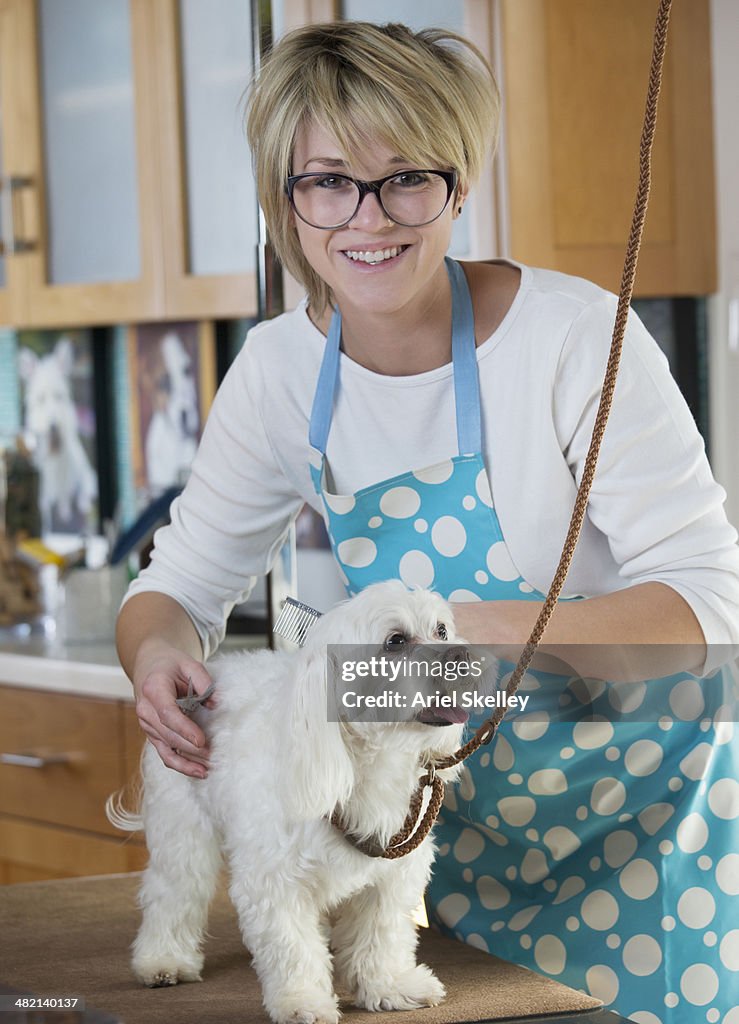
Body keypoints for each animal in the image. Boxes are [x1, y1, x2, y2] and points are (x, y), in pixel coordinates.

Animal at [18, 339, 97, 536]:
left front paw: (65, 513)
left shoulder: (64, 474)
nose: (53, 426)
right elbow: (43, 510)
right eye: (40, 398)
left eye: (59, 396)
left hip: (84, 473)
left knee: (84, 490)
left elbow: (64, 498)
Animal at [112, 585, 474, 1024]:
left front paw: (390, 986)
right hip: (183, 827)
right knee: (174, 890)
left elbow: (382, 934)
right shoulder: (273, 881)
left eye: (441, 630)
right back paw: (163, 960)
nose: (461, 655)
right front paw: (302, 1002)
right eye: (395, 641)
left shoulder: (392, 875)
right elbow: (292, 947)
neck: (367, 764)